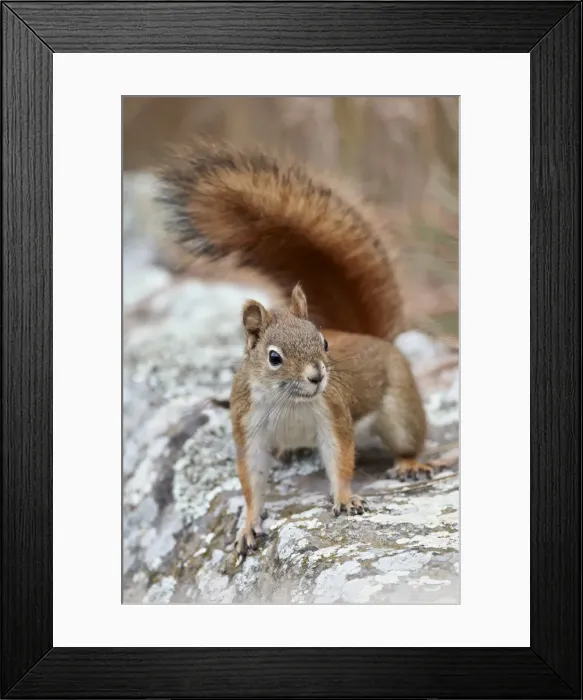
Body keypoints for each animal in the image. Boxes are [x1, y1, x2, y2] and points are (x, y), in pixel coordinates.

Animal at [153, 142, 429, 557]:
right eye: (274, 357)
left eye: (324, 342)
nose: (318, 376)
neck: (289, 402)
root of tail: (370, 337)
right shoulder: (247, 425)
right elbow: (251, 478)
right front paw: (249, 525)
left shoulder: (333, 414)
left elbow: (340, 458)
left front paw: (345, 498)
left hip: (399, 406)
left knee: (407, 437)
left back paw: (410, 463)